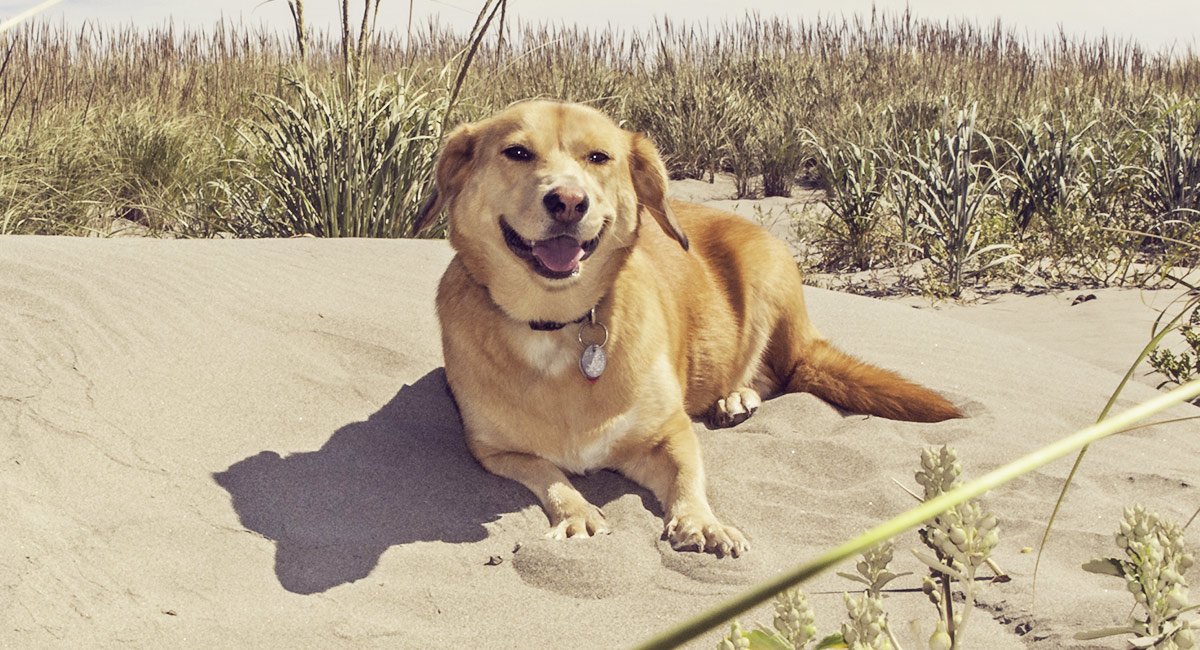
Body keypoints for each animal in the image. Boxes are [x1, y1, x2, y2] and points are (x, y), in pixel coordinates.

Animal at [417, 101, 960, 561]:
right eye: (517, 152)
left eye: (599, 157)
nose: (569, 201)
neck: (558, 323)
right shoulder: (495, 451)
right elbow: (548, 473)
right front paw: (577, 513)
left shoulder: (669, 431)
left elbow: (687, 478)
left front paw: (703, 522)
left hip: (769, 276)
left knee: (774, 373)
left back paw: (736, 398)